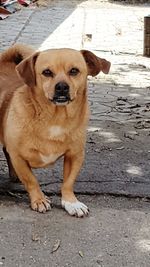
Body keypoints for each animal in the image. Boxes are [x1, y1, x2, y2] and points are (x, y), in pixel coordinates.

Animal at [0, 45, 110, 218]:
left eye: (74, 71)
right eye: (46, 72)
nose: (62, 87)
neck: (55, 119)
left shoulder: (75, 155)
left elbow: (68, 182)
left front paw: (71, 202)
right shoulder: (18, 156)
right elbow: (31, 180)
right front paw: (39, 200)